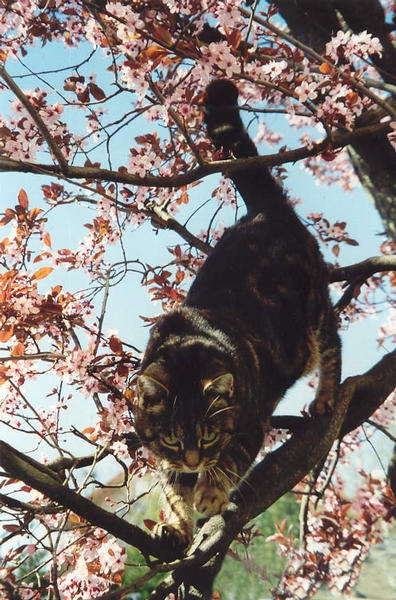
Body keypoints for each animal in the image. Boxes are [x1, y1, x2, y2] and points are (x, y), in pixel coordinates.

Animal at [133, 78, 340, 548]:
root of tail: (266, 210)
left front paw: (210, 493)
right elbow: (171, 487)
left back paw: (325, 397)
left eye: (209, 435)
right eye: (172, 439)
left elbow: (232, 459)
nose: (194, 461)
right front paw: (176, 524)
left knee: (333, 343)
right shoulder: (167, 455)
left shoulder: (250, 422)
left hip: (314, 309)